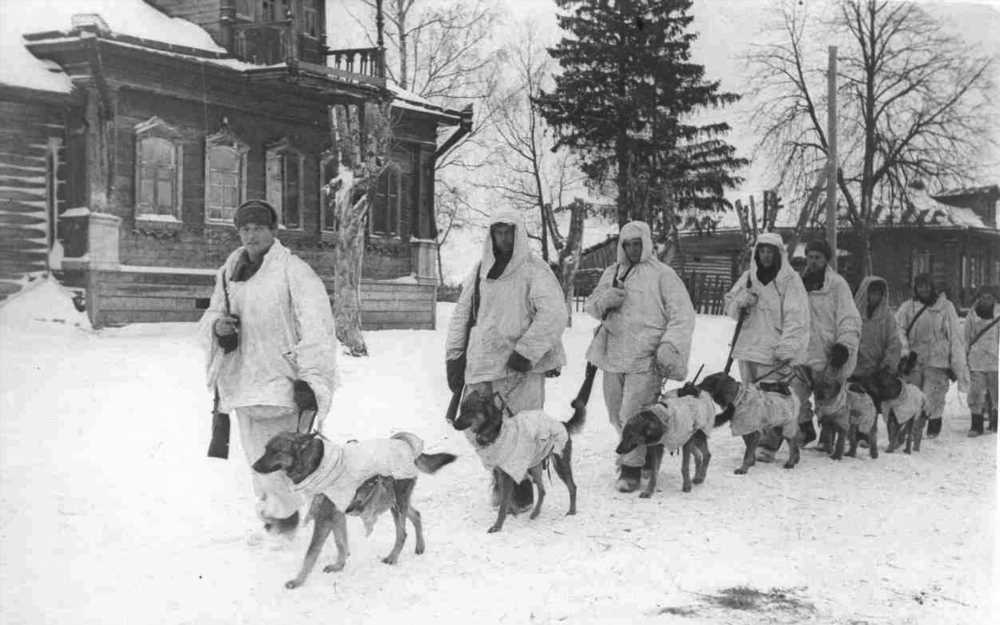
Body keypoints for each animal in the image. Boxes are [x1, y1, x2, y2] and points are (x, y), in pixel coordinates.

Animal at [252, 432, 456, 588]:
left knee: (402, 533)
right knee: (416, 515)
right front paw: (339, 565)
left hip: (396, 503)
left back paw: (393, 557)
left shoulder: (323, 518)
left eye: (276, 451)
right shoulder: (336, 514)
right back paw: (420, 546)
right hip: (394, 501)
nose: (253, 466)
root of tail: (404, 443)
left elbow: (311, 554)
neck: (315, 465)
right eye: (265, 449)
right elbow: (340, 542)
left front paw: (298, 581)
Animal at [456, 390, 584, 532]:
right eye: (461, 410)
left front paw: (498, 526)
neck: (496, 431)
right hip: (535, 466)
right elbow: (506, 499)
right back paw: (535, 513)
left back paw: (571, 511)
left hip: (560, 464)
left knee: (572, 487)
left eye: (469, 411)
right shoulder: (501, 474)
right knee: (542, 490)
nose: (454, 424)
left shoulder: (507, 475)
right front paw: (512, 513)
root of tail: (562, 423)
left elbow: (504, 503)